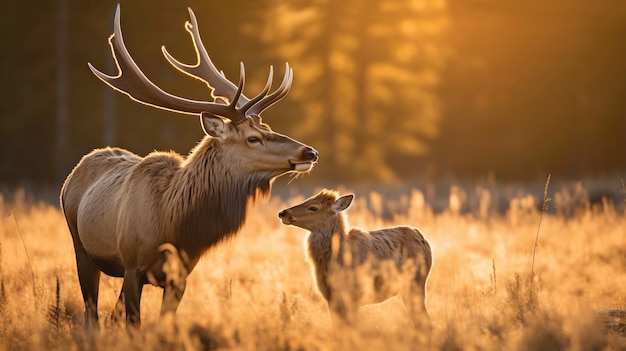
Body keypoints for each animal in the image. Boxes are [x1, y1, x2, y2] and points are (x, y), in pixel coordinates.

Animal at [59, 4, 316, 330]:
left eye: (267, 128)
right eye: (253, 138)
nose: (310, 151)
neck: (174, 223)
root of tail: (74, 173)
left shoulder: (181, 275)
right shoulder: (132, 266)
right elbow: (133, 325)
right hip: (80, 247)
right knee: (91, 314)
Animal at [276, 190, 428, 330]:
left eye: (314, 207)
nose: (282, 213)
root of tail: (424, 239)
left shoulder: (353, 296)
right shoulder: (331, 298)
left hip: (416, 284)